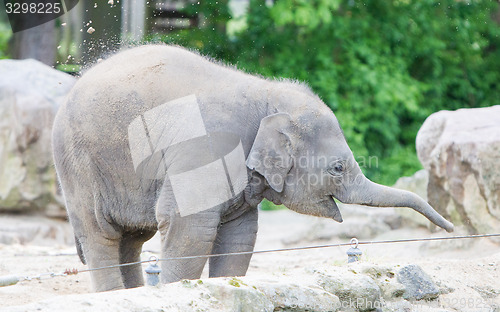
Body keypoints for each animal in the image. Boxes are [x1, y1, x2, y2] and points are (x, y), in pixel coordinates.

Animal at [51, 44, 454, 292]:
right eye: (338, 168)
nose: (450, 229)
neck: (266, 95)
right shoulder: (206, 151)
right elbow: (189, 226)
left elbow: (240, 235)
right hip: (79, 165)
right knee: (101, 235)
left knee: (131, 239)